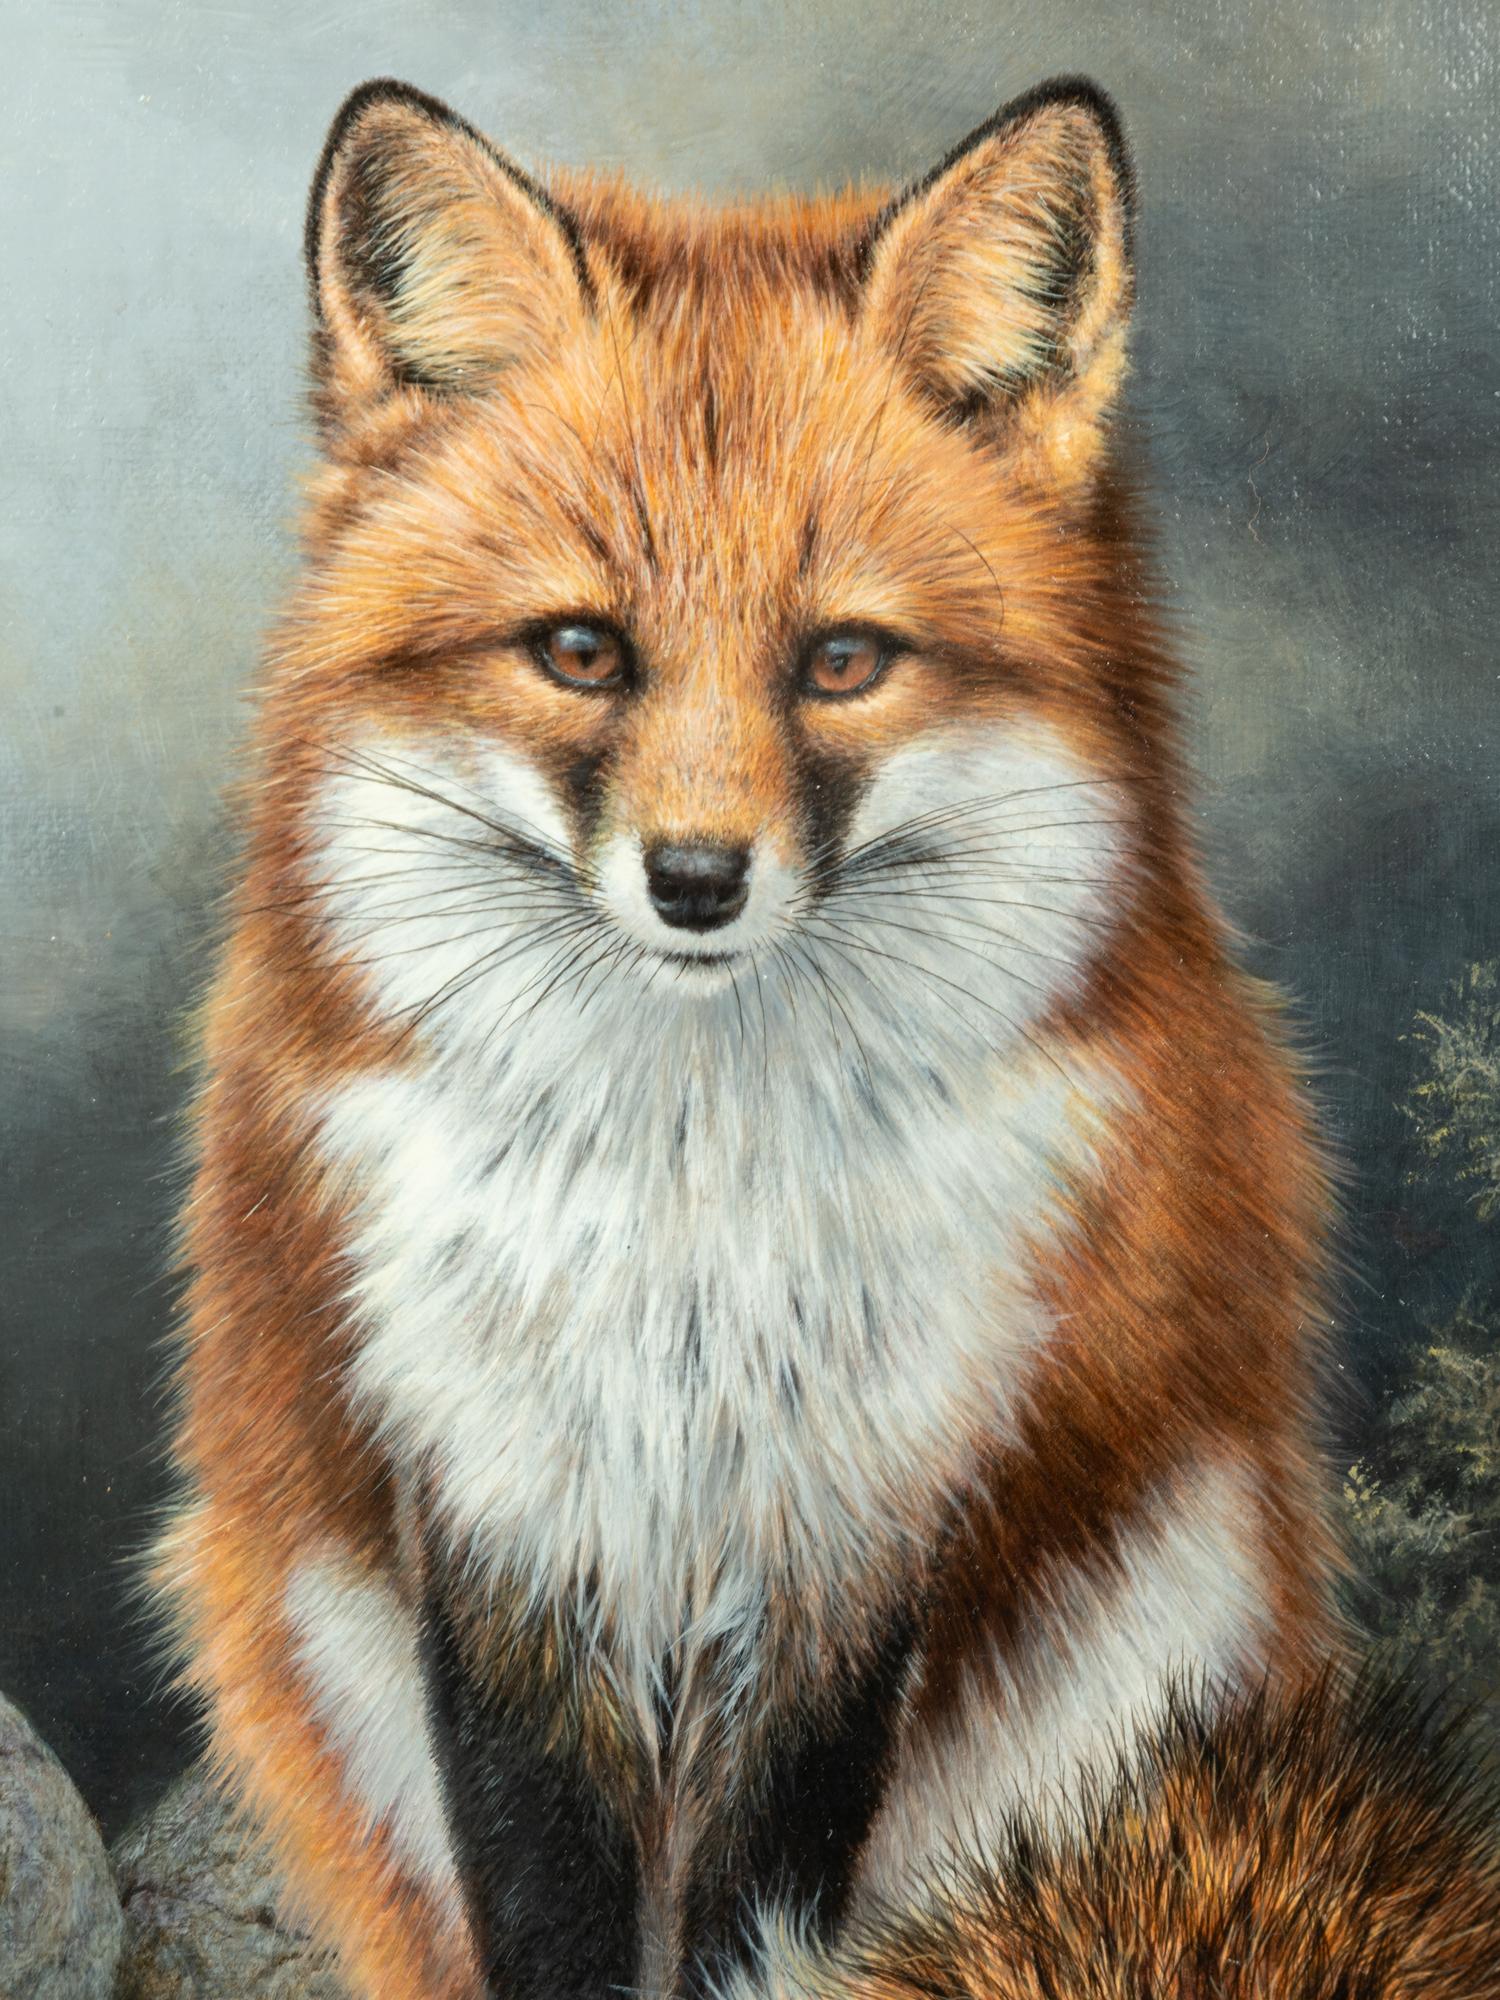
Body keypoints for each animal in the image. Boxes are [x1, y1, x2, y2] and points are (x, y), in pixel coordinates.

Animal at [159, 70, 1359, 2000]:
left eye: (842, 662)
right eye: (581, 652)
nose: (697, 882)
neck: (692, 1221)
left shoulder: (858, 1537)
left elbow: (755, 1906)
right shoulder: (499, 1520)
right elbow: (541, 1904)